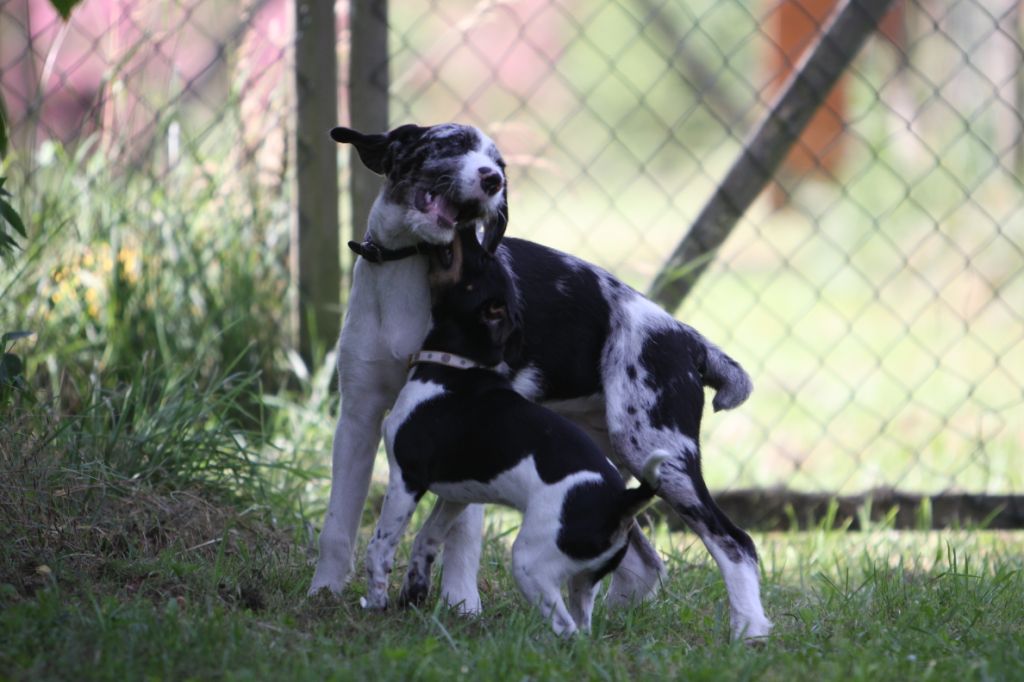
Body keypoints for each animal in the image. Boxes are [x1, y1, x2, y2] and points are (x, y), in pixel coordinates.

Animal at [364, 231, 667, 634]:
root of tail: (622, 501)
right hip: (583, 580)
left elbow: (381, 546)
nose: (466, 228)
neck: (454, 366)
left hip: (529, 564)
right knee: (583, 628)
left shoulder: (406, 478)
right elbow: (427, 538)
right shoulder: (457, 495)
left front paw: (376, 603)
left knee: (566, 629)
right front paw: (413, 593)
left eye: (479, 260)